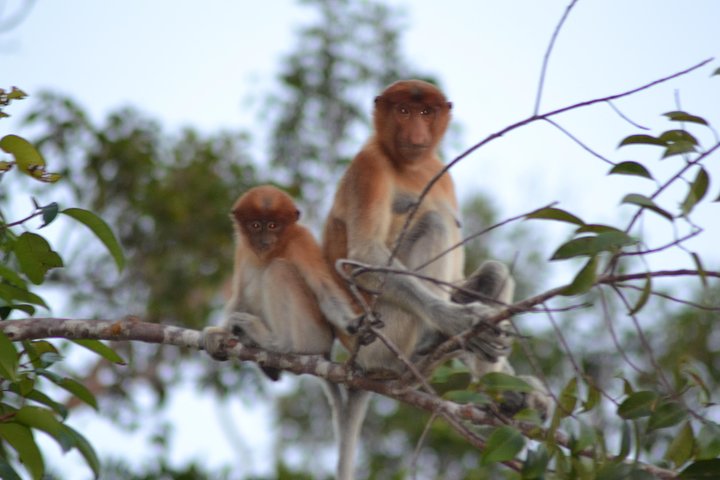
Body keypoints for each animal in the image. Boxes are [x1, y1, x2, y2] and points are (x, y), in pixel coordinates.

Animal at [202, 185, 358, 380]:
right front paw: (219, 334)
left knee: (278, 269)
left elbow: (324, 290)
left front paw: (352, 324)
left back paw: (277, 343)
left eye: (272, 225)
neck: (275, 250)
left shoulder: (301, 240)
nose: (264, 240)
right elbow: (240, 296)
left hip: (313, 336)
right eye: (255, 225)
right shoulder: (243, 248)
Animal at [323, 80, 550, 479]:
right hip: (384, 334)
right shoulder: (369, 168)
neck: (408, 164)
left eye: (426, 112)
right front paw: (458, 318)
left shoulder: (441, 171)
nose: (416, 133)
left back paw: (494, 395)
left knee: (494, 272)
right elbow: (364, 257)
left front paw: (523, 390)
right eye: (403, 111)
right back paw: (430, 343)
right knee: (432, 222)